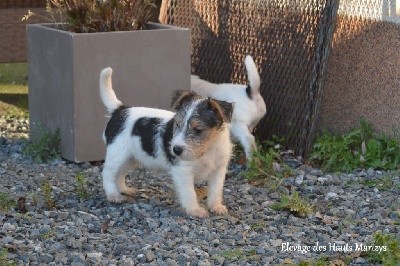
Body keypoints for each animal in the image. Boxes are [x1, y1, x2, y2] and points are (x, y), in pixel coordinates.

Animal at [98, 67, 233, 217]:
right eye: (177, 124)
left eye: (198, 130)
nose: (176, 150)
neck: (208, 149)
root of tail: (120, 110)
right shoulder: (183, 171)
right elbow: (189, 193)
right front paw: (194, 210)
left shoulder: (219, 170)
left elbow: (216, 190)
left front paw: (216, 206)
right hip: (117, 154)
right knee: (108, 174)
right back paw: (113, 195)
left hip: (131, 157)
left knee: (120, 173)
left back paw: (124, 189)